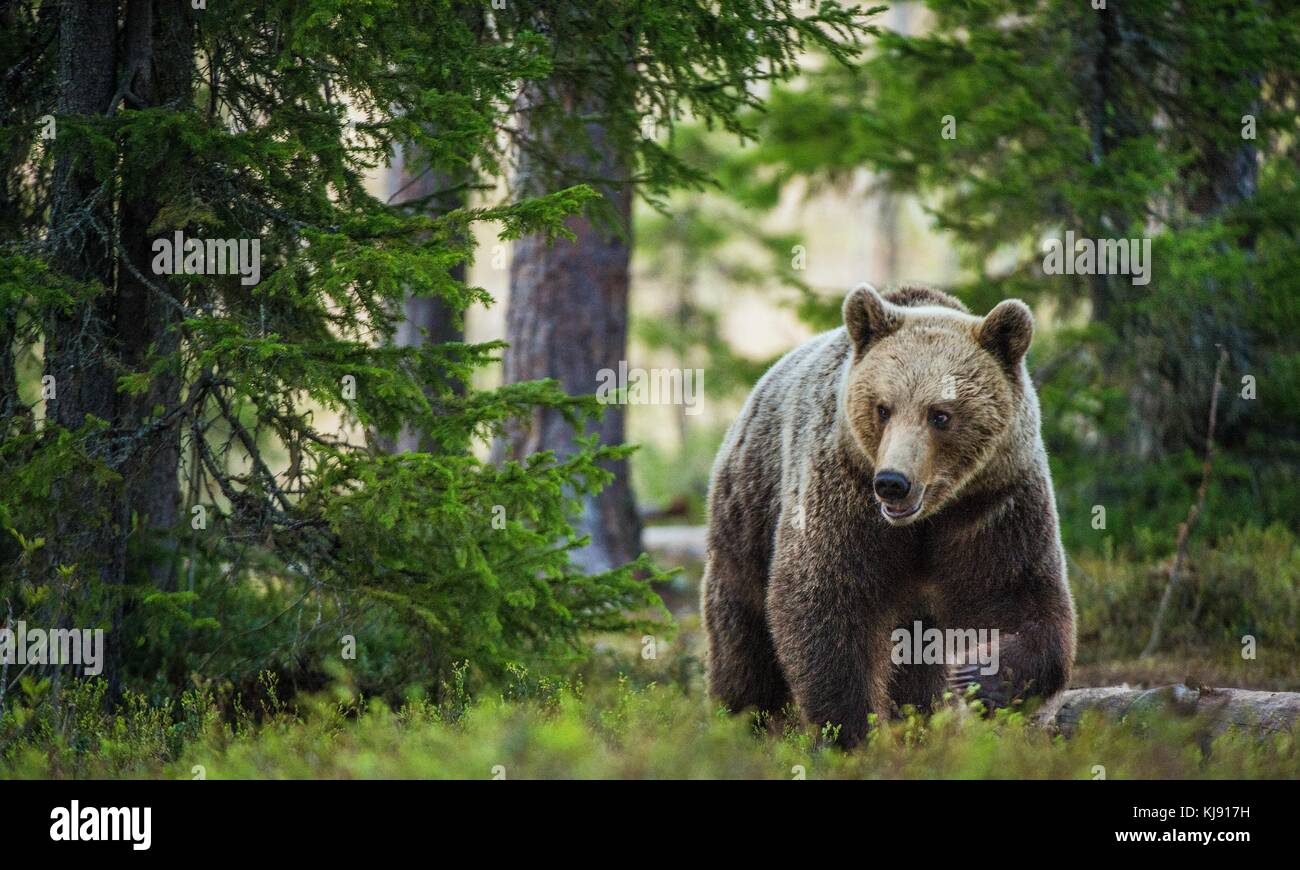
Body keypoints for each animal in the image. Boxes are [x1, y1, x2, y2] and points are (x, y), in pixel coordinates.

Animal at [701, 282, 1076, 748]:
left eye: (941, 414)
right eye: (883, 408)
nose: (893, 482)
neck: (927, 520)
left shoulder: (995, 504)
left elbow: (1022, 598)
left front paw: (978, 676)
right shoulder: (844, 494)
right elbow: (824, 602)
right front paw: (851, 731)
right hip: (746, 519)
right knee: (741, 639)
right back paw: (741, 721)